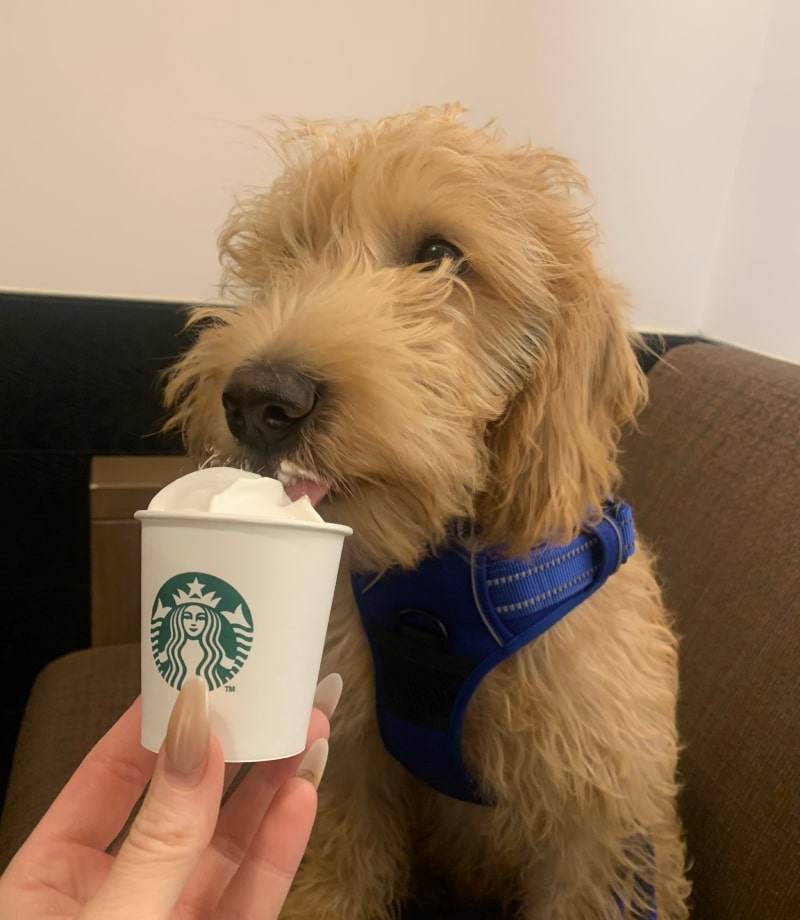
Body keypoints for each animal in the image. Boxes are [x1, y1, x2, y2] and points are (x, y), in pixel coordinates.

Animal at [166, 104, 692, 916]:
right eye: (289, 256)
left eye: (440, 255)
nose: (259, 400)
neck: (440, 580)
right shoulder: (348, 768)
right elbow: (331, 876)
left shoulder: (597, 827)